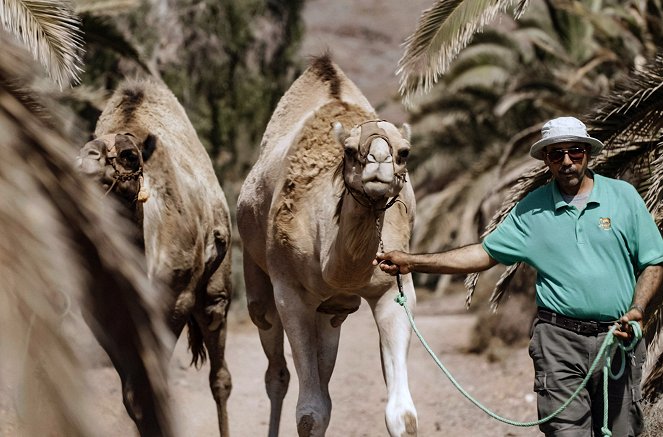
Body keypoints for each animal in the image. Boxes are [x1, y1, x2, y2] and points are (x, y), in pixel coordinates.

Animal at [78, 79, 235, 436]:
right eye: (83, 149)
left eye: (129, 155)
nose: (86, 162)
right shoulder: (102, 315)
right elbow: (134, 397)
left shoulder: (174, 301)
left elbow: (155, 388)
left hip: (214, 289)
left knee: (220, 377)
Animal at [236, 55, 418, 436]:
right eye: (348, 151)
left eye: (404, 152)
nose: (379, 162)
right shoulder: (290, 292)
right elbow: (310, 412)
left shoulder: (394, 288)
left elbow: (403, 415)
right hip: (256, 274)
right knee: (276, 370)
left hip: (333, 311)